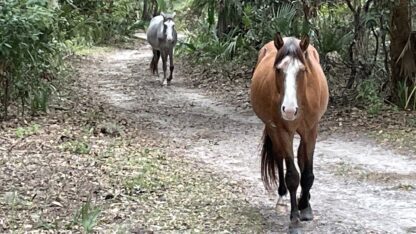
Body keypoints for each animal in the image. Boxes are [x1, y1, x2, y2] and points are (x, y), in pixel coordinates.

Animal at [250, 33, 328, 230]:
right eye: (278, 70)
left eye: (302, 70)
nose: (290, 110)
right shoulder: (283, 131)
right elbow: (292, 175)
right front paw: (294, 217)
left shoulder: (311, 130)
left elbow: (307, 173)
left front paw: (305, 207)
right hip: (273, 129)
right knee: (279, 156)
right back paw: (282, 197)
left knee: (300, 158)